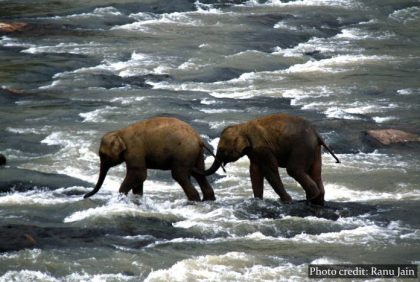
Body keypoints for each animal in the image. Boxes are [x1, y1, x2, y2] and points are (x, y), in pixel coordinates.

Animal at [85, 118, 217, 202]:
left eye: (102, 155)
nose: (85, 196)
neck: (120, 133)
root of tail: (199, 139)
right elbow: (139, 179)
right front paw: (137, 198)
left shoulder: (134, 150)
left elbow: (139, 174)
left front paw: (121, 197)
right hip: (196, 155)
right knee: (199, 174)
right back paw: (208, 199)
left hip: (184, 154)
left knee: (180, 175)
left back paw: (195, 200)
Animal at [204, 113, 342, 206]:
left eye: (221, 150)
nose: (224, 169)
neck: (242, 127)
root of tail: (317, 135)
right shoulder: (254, 151)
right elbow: (254, 171)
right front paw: (258, 200)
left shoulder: (262, 148)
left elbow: (269, 170)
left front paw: (287, 201)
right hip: (315, 150)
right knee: (316, 172)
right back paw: (317, 202)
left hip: (302, 147)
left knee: (294, 169)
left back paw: (309, 198)